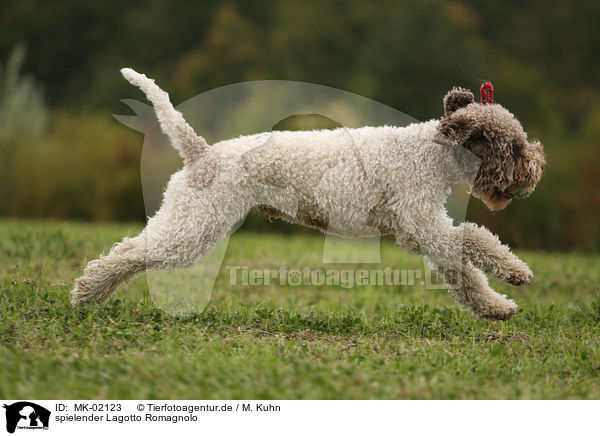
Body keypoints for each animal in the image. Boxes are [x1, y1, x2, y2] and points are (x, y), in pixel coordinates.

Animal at [72, 69, 548, 320]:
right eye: (513, 145)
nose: (537, 165)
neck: (428, 155)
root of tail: (201, 152)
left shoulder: (425, 234)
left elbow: (463, 274)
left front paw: (497, 307)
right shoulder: (427, 227)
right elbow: (477, 238)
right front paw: (516, 272)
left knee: (129, 249)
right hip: (192, 229)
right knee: (127, 253)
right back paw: (85, 295)